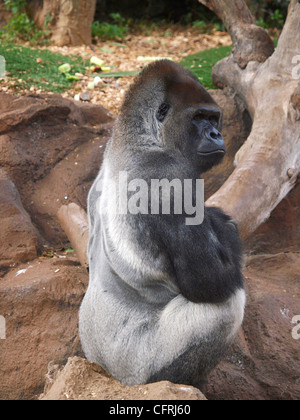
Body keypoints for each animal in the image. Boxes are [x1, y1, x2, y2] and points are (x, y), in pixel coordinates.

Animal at [79, 59, 246, 390]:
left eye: (214, 118)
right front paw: (225, 227)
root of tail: (107, 372)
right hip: (137, 371)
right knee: (227, 305)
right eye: (199, 117)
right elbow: (213, 282)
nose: (216, 134)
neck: (138, 140)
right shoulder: (170, 178)